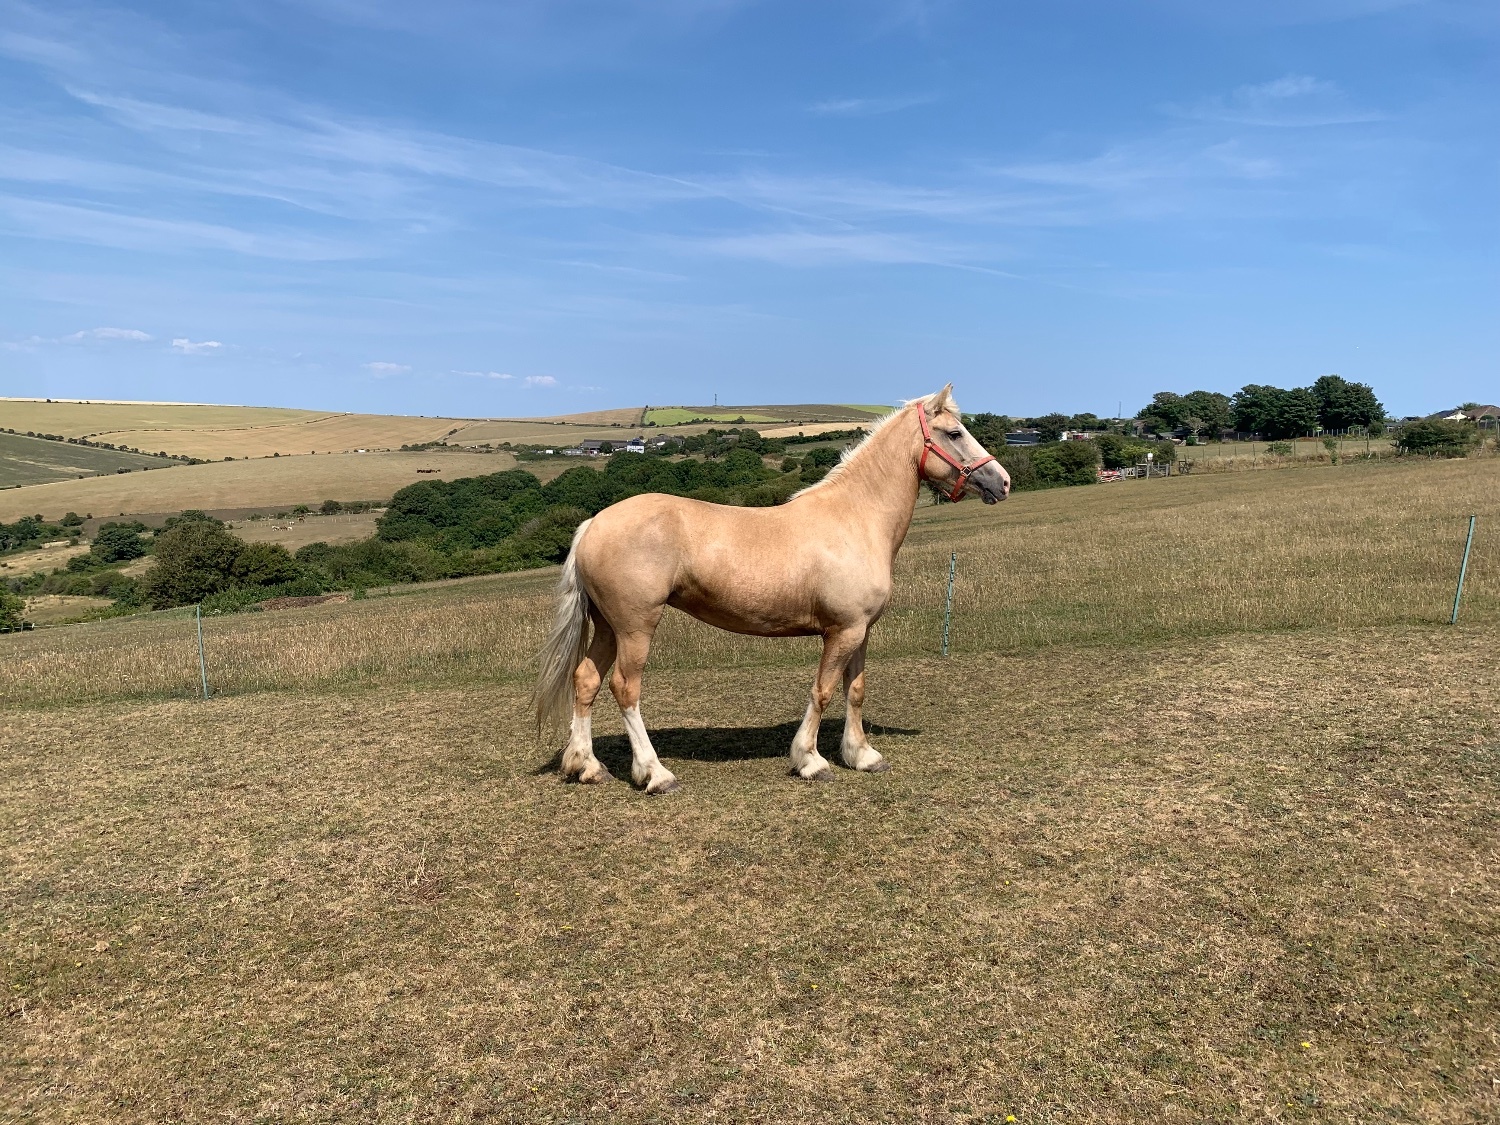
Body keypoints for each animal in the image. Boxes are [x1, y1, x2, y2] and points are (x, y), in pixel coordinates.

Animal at [533, 385, 1011, 794]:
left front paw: (863, 756)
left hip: (608, 627)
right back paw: (655, 773)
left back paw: (586, 767)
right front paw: (811, 761)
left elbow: (854, 691)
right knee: (625, 689)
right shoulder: (842, 631)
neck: (855, 517)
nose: (1002, 481)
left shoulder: (861, 631)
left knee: (586, 680)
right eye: (954, 433)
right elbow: (822, 691)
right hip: (635, 628)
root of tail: (594, 523)